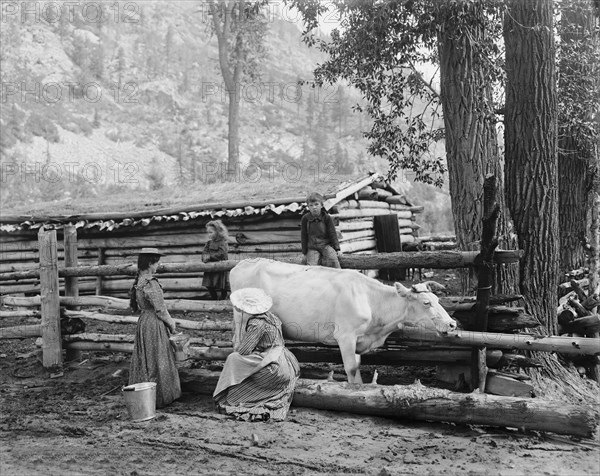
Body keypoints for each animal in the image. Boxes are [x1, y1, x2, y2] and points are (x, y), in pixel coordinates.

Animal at [230, 258, 454, 384]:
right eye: (426, 302)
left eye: (437, 300)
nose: (452, 324)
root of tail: (242, 263)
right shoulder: (345, 336)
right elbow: (351, 368)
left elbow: (358, 367)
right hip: (241, 317)